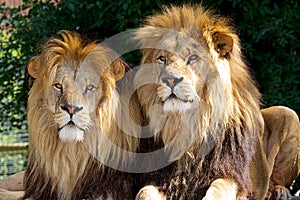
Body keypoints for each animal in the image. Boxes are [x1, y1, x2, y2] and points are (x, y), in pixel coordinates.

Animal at [134, 4, 300, 200]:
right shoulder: (162, 179)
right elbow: (145, 192)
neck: (192, 124)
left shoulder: (233, 174)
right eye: (162, 59)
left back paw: (280, 192)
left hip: (289, 114)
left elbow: (219, 187)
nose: (170, 80)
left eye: (193, 58)